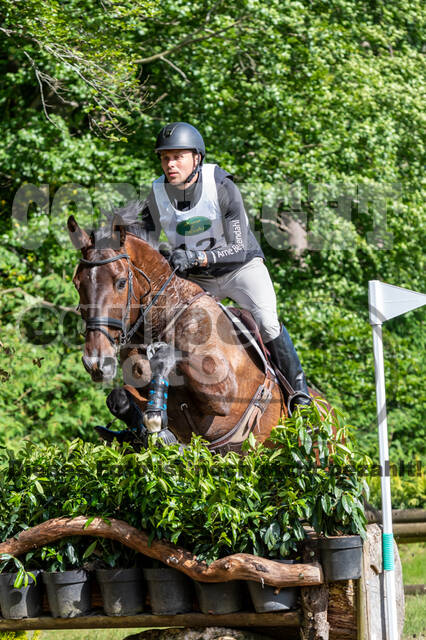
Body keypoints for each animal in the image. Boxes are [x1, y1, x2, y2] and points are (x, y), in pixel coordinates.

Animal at [67, 205, 305, 454]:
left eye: (121, 282)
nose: (96, 362)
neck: (165, 318)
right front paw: (151, 430)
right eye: (77, 283)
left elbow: (169, 355)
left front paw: (155, 417)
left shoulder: (223, 392)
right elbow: (119, 397)